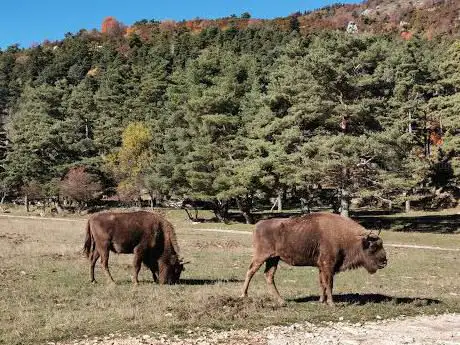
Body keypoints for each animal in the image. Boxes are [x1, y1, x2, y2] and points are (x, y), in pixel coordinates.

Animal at [241, 211, 388, 306]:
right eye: (373, 247)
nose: (384, 262)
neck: (347, 237)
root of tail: (258, 225)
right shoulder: (328, 266)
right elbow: (329, 284)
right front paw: (331, 303)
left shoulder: (321, 267)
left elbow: (322, 283)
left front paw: (321, 301)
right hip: (261, 256)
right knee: (250, 271)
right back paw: (244, 295)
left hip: (273, 259)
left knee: (269, 275)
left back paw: (282, 301)